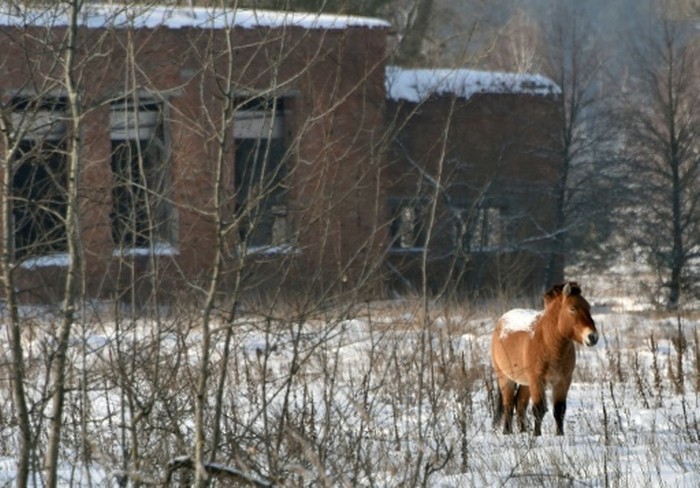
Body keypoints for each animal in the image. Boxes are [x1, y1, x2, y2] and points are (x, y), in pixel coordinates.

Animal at [490, 280, 600, 436]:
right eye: (572, 308)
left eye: (588, 307)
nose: (593, 337)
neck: (549, 344)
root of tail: (501, 321)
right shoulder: (537, 380)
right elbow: (538, 409)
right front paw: (537, 435)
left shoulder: (562, 381)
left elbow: (559, 410)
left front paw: (560, 435)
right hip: (506, 378)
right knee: (509, 404)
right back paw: (507, 432)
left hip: (525, 383)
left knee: (520, 403)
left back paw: (523, 432)